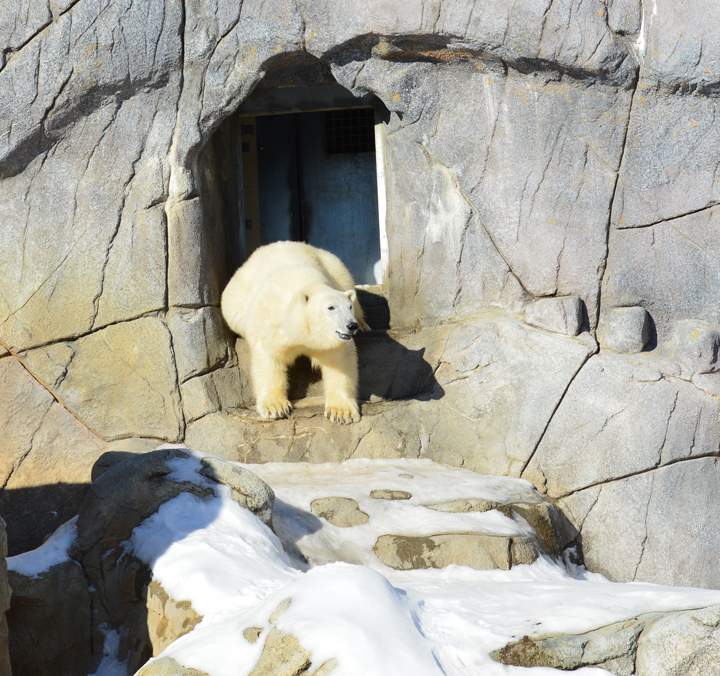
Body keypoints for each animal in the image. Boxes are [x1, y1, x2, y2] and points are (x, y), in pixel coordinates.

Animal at [221, 241, 369, 424]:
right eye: (331, 307)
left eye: (348, 307)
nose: (351, 325)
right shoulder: (272, 322)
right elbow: (268, 359)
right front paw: (275, 407)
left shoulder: (333, 340)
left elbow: (339, 360)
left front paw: (341, 413)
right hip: (235, 297)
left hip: (333, 266)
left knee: (347, 281)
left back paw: (363, 324)